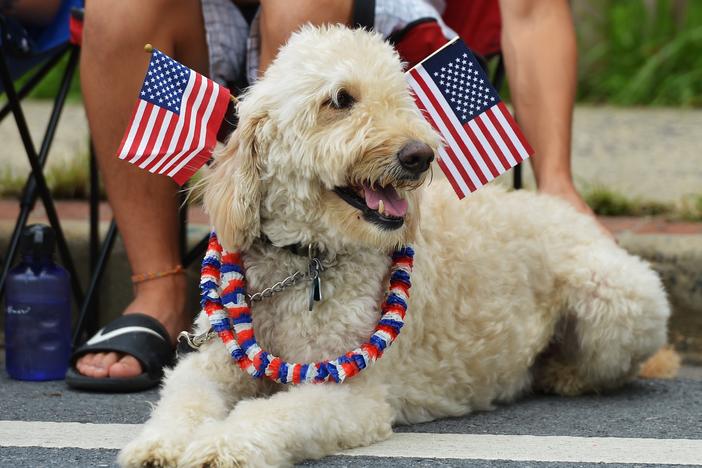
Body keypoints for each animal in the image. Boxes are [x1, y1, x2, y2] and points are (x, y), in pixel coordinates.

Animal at [119, 26, 672, 468]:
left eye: (402, 99)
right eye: (340, 99)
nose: (420, 155)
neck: (305, 260)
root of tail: (574, 215)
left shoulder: (350, 394)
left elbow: (270, 413)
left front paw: (223, 446)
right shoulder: (208, 364)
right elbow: (182, 400)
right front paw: (159, 445)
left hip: (619, 299)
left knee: (612, 367)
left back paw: (562, 374)